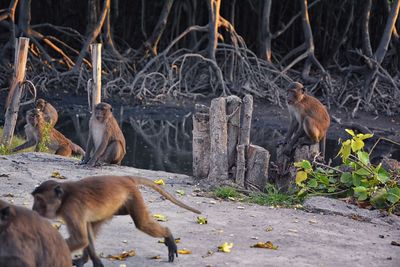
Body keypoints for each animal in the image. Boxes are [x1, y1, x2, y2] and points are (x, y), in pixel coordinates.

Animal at [31, 176, 202, 266]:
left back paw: (168, 235)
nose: (33, 209)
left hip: (132, 195)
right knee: (92, 225)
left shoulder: (71, 209)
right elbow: (85, 236)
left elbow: (80, 238)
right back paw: (86, 259)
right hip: (118, 204)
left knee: (142, 223)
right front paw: (94, 261)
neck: (65, 197)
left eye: (39, 200)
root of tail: (124, 178)